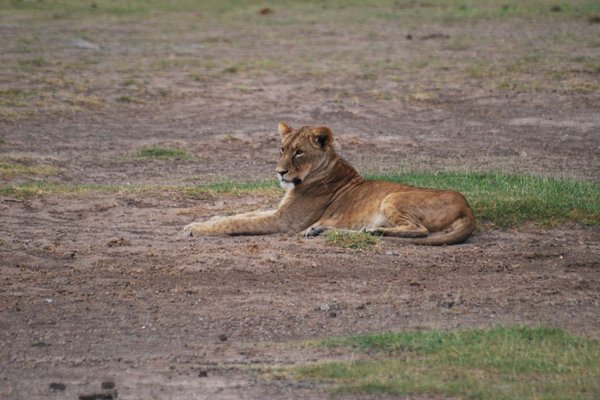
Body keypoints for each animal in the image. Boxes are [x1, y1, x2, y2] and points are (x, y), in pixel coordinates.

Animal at [183, 123, 474, 245]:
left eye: (299, 153)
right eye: (282, 149)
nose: (279, 173)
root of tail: (468, 207)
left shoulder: (284, 221)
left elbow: (236, 223)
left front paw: (194, 228)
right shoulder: (279, 211)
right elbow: (243, 213)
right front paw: (209, 218)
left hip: (393, 198)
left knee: (419, 230)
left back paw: (370, 232)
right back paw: (322, 231)